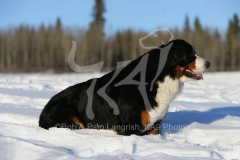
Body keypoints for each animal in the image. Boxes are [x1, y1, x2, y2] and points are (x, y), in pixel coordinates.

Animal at [39, 39, 210, 136]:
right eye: (191, 54)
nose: (209, 63)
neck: (158, 78)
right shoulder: (128, 127)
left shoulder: (154, 126)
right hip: (68, 114)